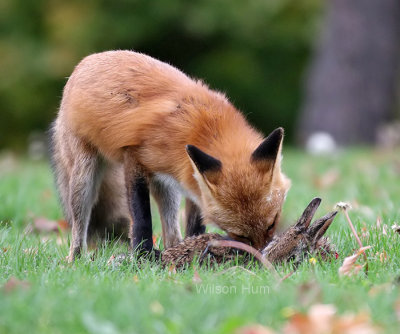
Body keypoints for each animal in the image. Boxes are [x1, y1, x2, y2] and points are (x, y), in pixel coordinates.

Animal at [51, 51, 290, 262]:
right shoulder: (135, 158)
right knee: (79, 225)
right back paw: (75, 259)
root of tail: (86, 61)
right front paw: (143, 255)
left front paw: (195, 246)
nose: (262, 257)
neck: (205, 127)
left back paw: (174, 249)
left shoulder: (191, 174)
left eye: (272, 223)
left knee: (171, 231)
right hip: (84, 178)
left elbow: (195, 222)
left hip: (166, 184)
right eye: (240, 235)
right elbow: (141, 218)